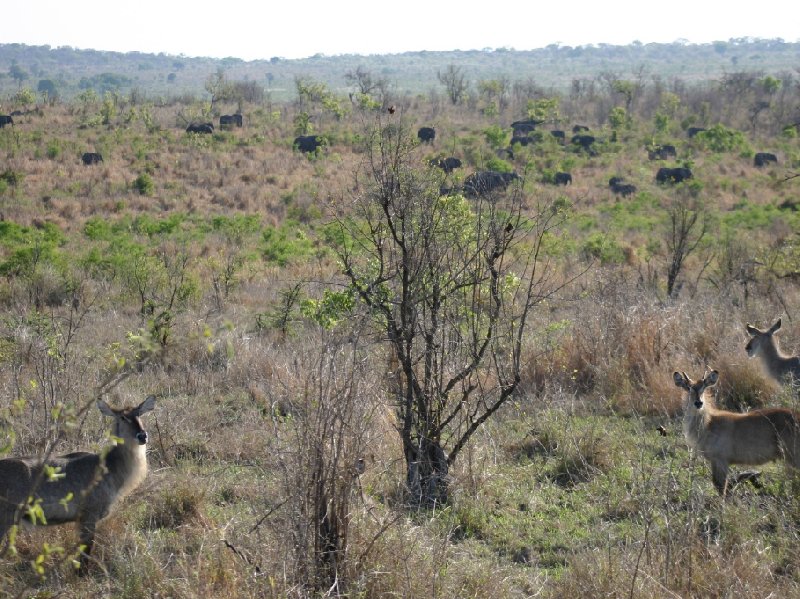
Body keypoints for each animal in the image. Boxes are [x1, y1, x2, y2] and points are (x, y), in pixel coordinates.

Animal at [0, 396, 155, 576]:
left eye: (139, 414)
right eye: (123, 417)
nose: (142, 436)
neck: (110, 466)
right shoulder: (89, 515)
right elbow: (86, 550)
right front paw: (81, 576)